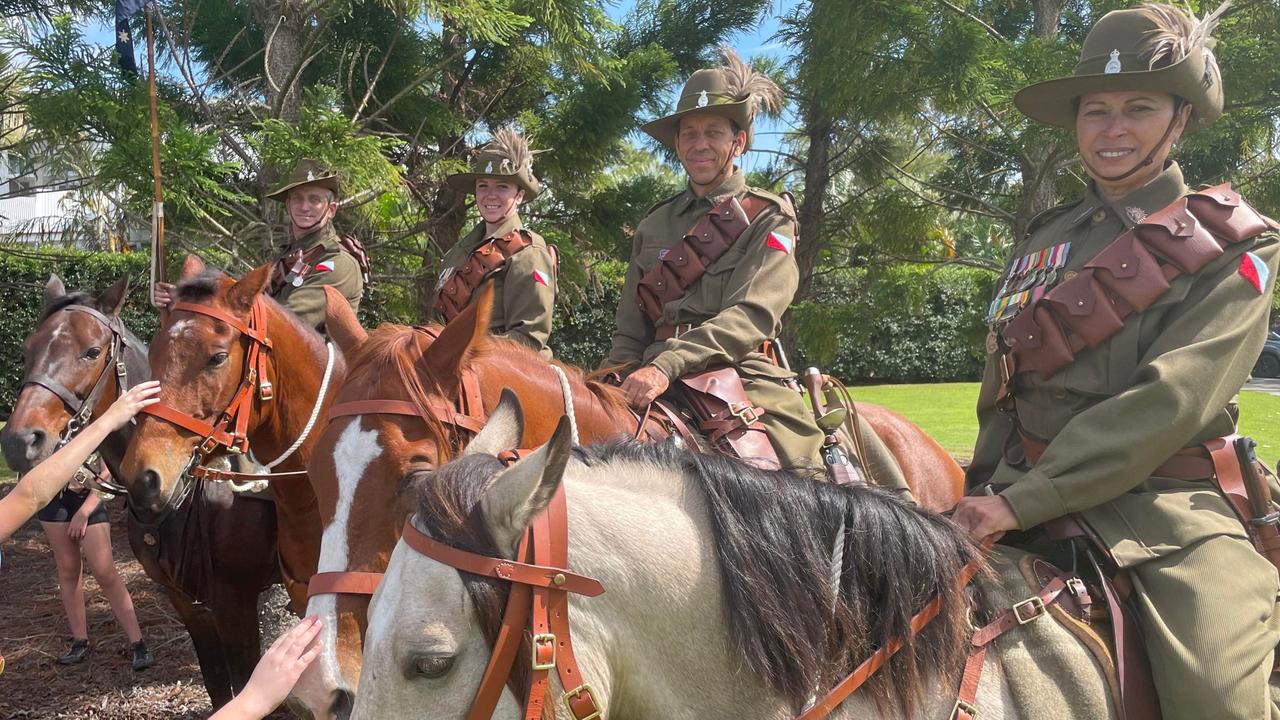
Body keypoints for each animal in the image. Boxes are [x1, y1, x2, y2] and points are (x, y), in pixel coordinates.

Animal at [0, 271, 279, 702]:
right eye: (28, 349)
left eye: (91, 351)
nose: (19, 441)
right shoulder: (188, 603)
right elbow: (218, 686)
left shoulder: (236, 602)